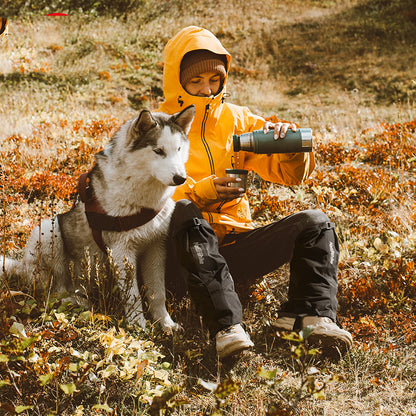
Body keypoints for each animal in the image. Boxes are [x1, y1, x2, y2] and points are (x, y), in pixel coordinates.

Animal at [0, 106, 196, 332]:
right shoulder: (122, 250)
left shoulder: (156, 247)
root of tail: (24, 267)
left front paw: (165, 323)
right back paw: (78, 301)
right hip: (49, 229)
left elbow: (158, 293)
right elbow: (133, 296)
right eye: (158, 151)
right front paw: (139, 326)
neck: (144, 200)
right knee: (56, 290)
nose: (180, 178)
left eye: (179, 149)